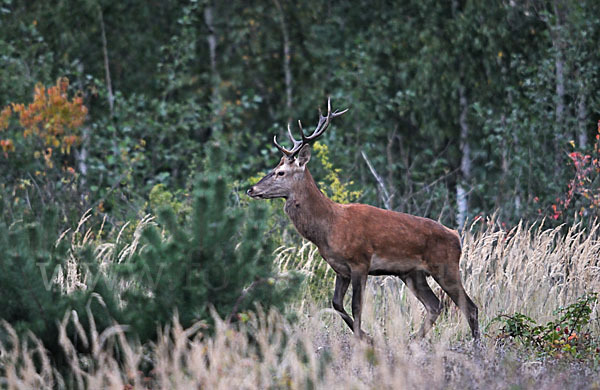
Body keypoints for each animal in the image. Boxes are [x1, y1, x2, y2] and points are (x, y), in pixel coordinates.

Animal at [244, 98, 478, 342]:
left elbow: (356, 306)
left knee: (469, 306)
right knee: (435, 305)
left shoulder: (360, 261)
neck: (328, 228)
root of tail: (456, 236)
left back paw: (476, 343)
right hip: (413, 273)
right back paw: (412, 340)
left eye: (280, 172)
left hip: (445, 266)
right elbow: (336, 304)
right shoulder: (340, 268)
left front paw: (363, 339)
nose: (251, 189)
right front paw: (367, 336)